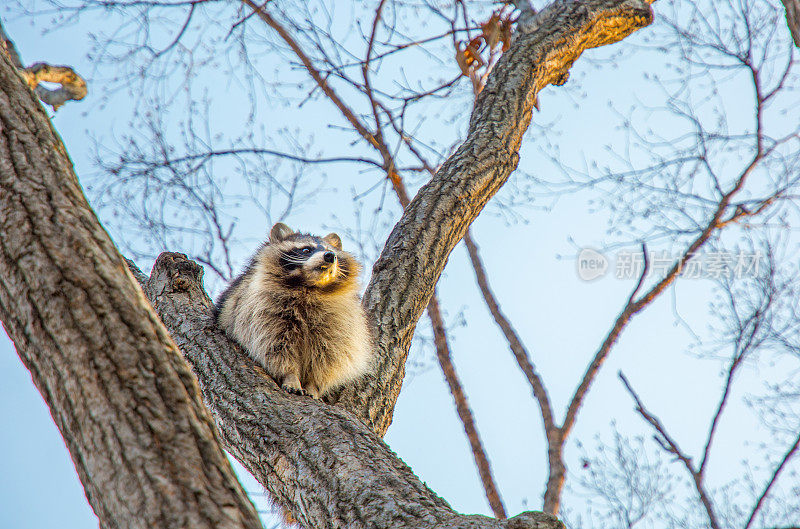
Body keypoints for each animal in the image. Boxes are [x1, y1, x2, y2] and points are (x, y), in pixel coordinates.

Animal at [214, 221, 374, 398]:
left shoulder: (339, 319)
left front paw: (313, 384)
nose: (329, 255)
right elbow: (274, 346)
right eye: (306, 250)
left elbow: (328, 356)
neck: (309, 287)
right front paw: (290, 376)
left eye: (332, 252)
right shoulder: (263, 308)